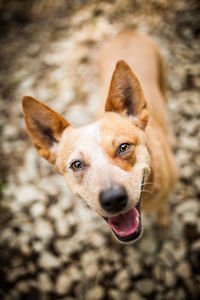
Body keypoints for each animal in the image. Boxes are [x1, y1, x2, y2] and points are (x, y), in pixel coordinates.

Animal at [22, 31, 177, 243]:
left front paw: (163, 220)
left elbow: (162, 207)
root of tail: (127, 32)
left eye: (124, 147)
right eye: (76, 165)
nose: (113, 199)